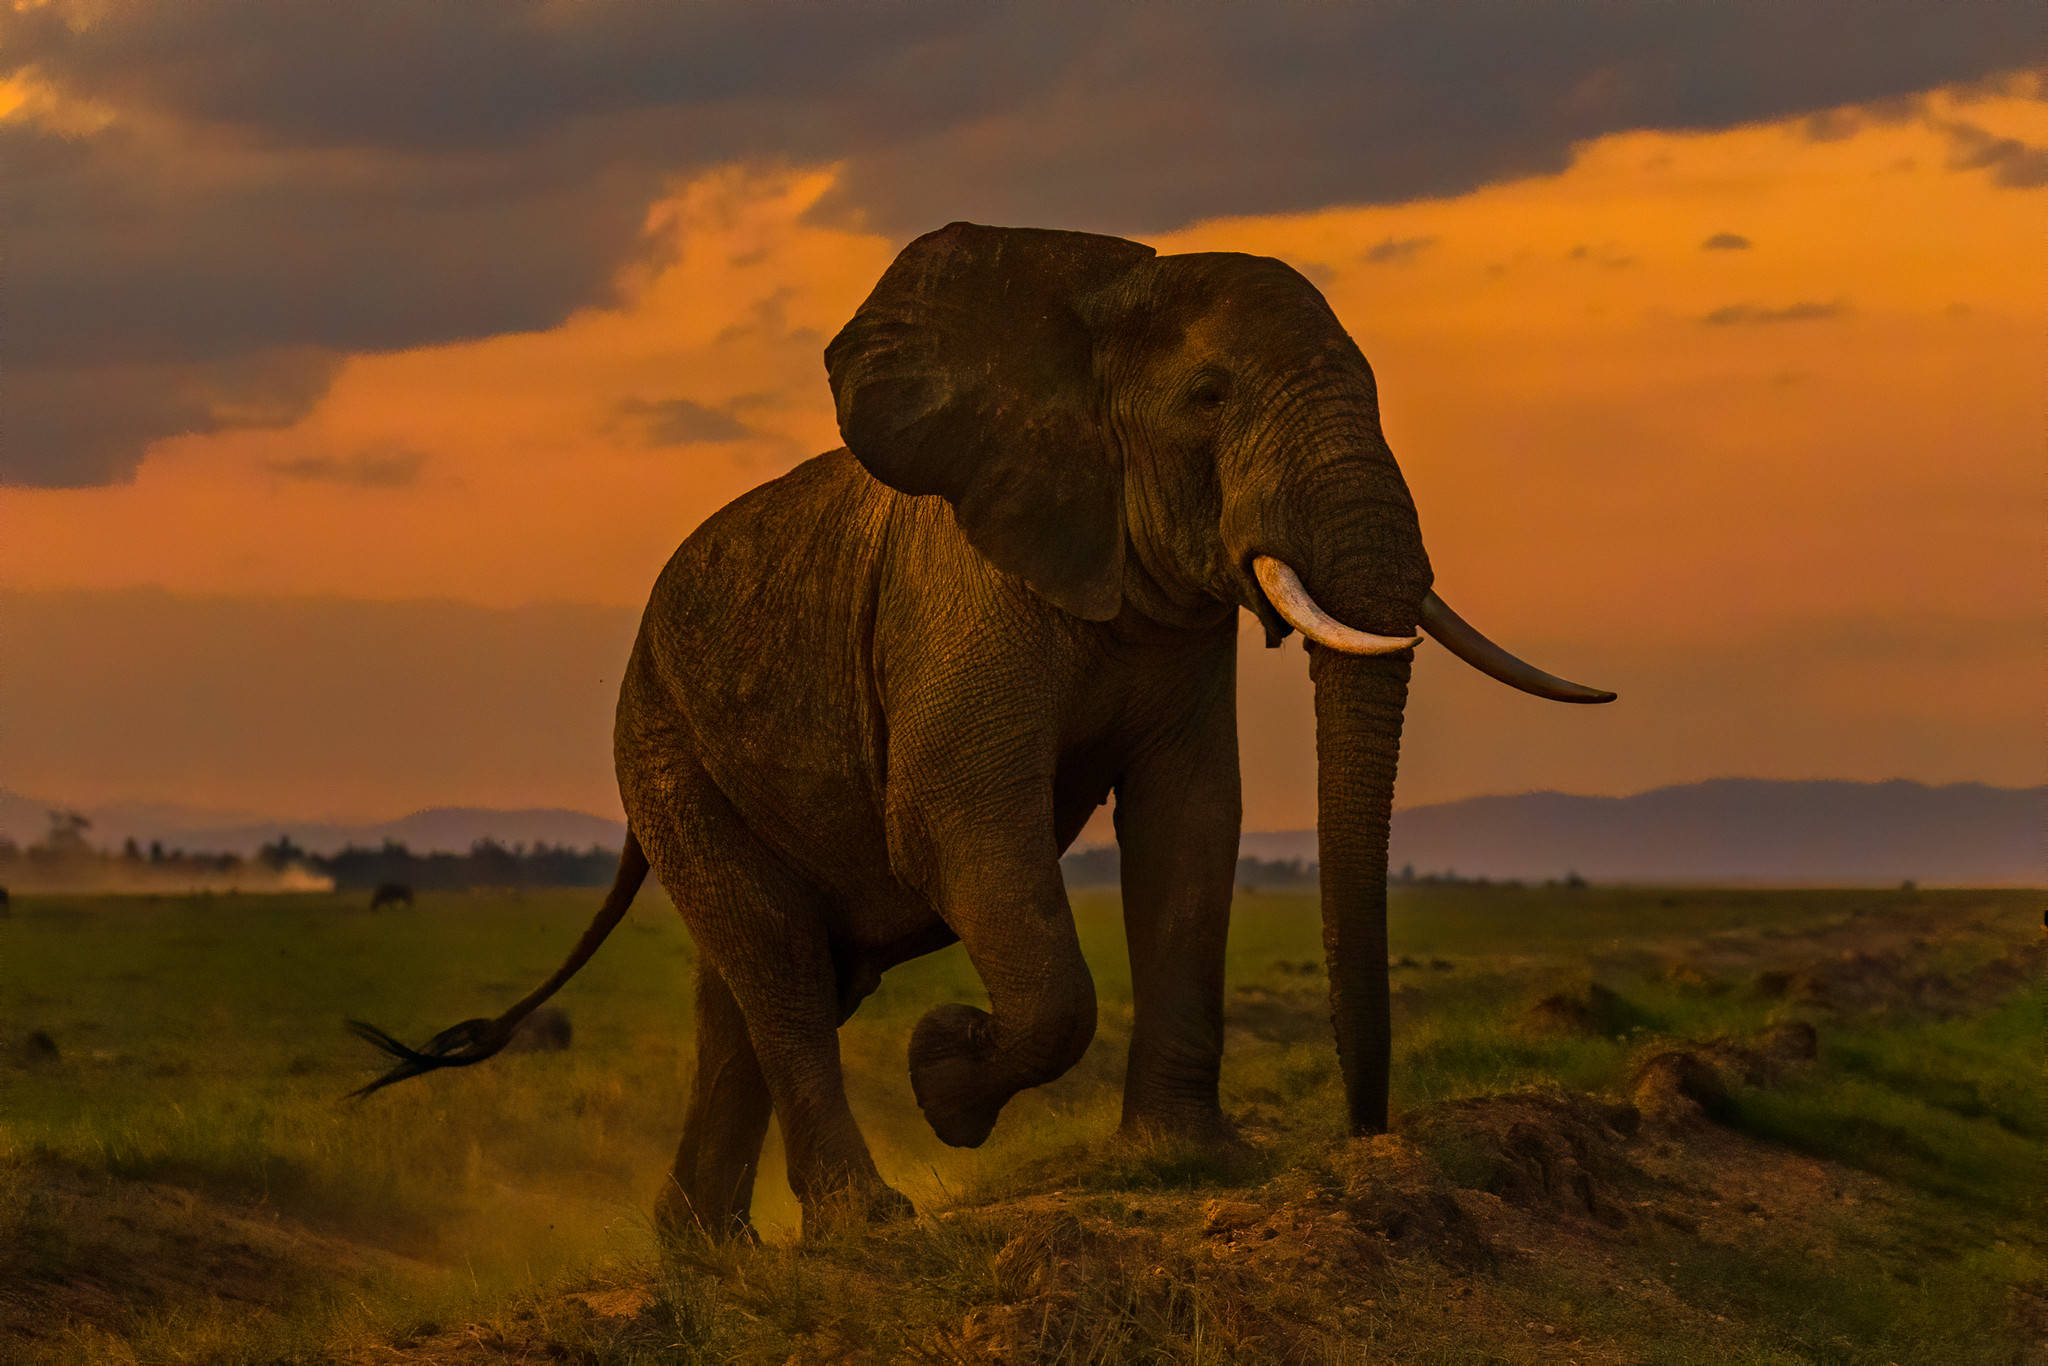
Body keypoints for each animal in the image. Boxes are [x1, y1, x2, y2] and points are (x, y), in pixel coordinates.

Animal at [350, 222, 1613, 1240]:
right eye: (1208, 399)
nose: (1365, 1138)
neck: (1096, 293)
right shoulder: (960, 598)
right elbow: (956, 823)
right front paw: (945, 1078)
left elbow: (1191, 826)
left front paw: (1188, 1160)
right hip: (663, 749)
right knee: (783, 973)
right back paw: (860, 1224)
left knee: (749, 991)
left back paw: (707, 1256)